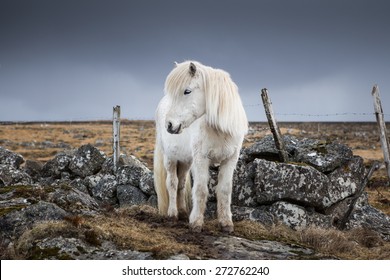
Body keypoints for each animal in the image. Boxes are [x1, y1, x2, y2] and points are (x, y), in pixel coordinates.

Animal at [153, 61, 247, 234]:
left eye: (187, 91)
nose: (169, 125)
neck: (219, 130)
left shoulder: (230, 160)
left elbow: (225, 190)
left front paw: (226, 223)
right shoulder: (201, 159)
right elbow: (201, 189)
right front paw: (196, 223)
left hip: (186, 161)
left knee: (181, 183)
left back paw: (183, 212)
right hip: (170, 158)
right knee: (172, 183)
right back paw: (172, 214)